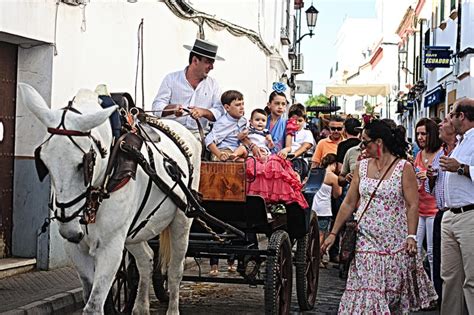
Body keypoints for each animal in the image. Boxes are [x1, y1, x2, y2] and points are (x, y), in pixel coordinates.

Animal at [17, 82, 200, 314]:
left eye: (84, 163)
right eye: (44, 162)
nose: (69, 229)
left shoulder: (110, 247)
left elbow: (93, 305)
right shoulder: (76, 247)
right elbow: (89, 295)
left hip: (181, 220)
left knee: (176, 269)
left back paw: (172, 307)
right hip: (134, 231)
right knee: (146, 260)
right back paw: (141, 306)